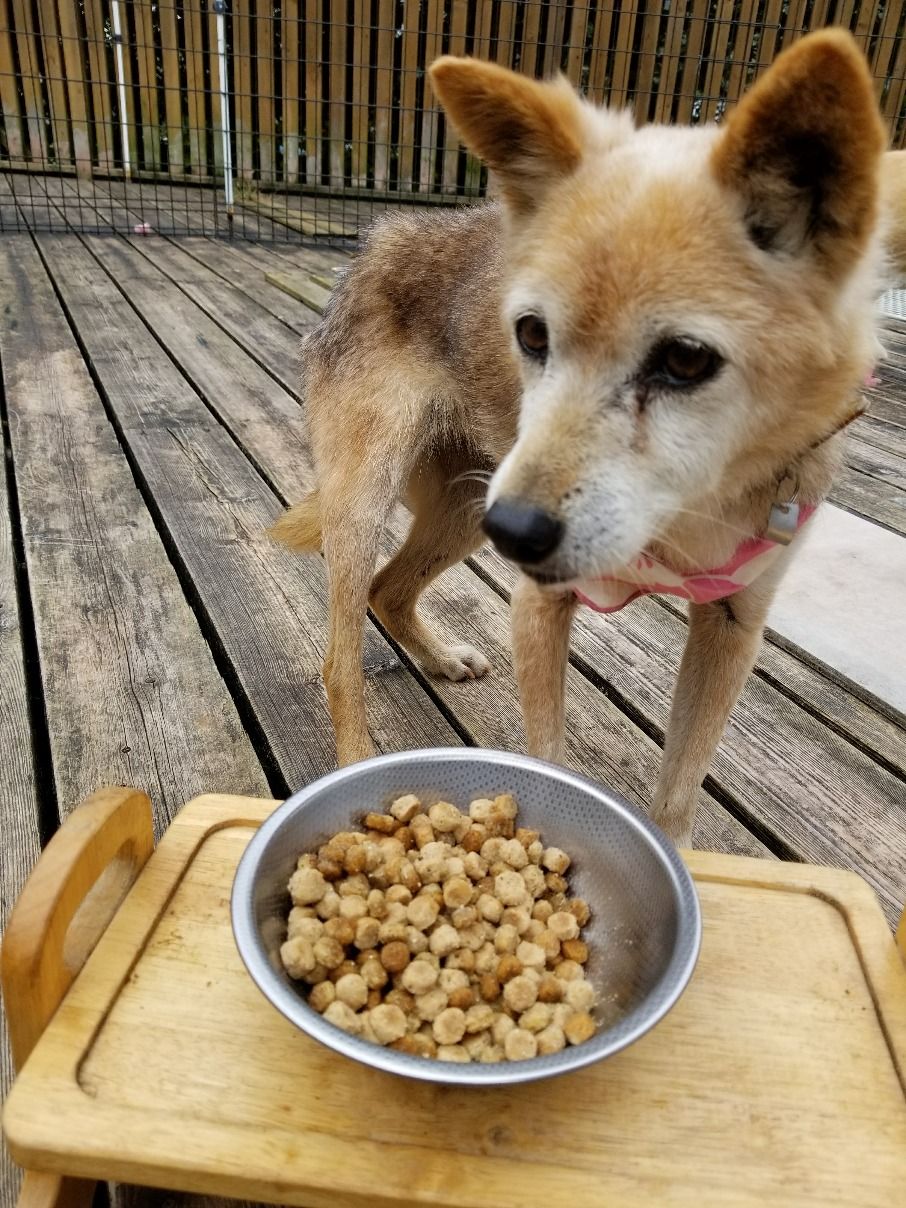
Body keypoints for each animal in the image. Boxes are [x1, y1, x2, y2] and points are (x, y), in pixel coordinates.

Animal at [272, 30, 884, 847]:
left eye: (687, 359)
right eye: (531, 333)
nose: (518, 530)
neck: (687, 510)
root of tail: (376, 239)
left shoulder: (731, 630)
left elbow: (681, 789)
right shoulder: (540, 603)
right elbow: (549, 757)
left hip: (466, 510)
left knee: (389, 590)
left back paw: (439, 658)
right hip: (379, 503)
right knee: (342, 659)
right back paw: (351, 766)